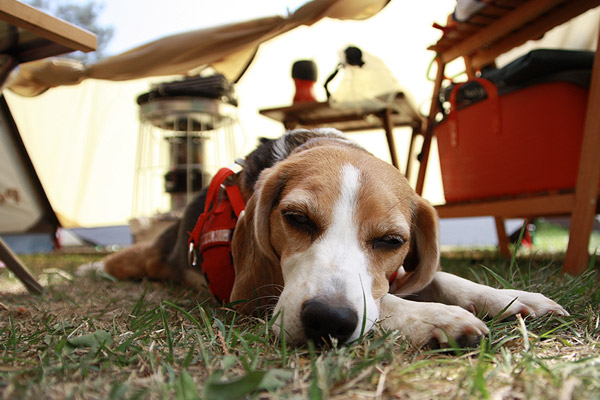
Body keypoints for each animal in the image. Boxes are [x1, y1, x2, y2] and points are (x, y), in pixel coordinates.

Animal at [96, 129, 568, 346]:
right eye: (296, 218)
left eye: (392, 241)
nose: (327, 320)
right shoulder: (251, 296)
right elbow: (385, 302)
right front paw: (437, 318)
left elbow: (441, 279)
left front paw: (510, 298)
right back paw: (93, 267)